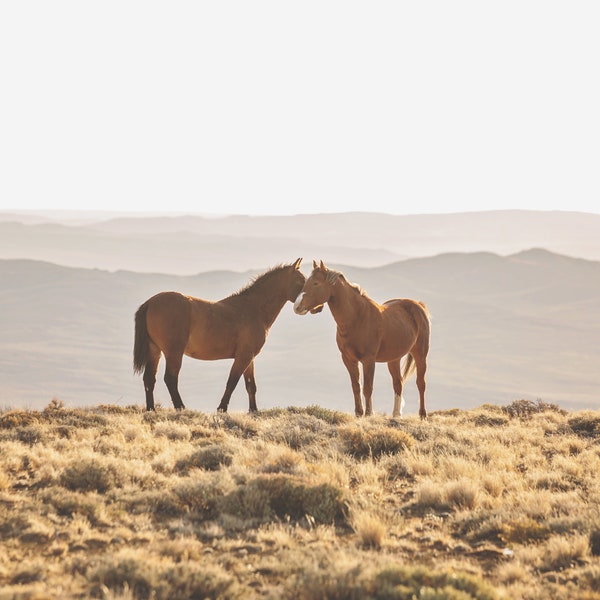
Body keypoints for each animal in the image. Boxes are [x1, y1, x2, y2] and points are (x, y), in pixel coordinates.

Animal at [135, 258, 304, 412]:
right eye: (301, 281)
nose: (304, 306)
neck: (254, 309)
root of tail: (150, 302)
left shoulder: (249, 357)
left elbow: (250, 385)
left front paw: (253, 411)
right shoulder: (243, 357)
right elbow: (232, 382)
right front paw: (222, 408)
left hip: (155, 350)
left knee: (149, 379)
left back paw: (151, 409)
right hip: (173, 352)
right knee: (170, 378)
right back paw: (181, 408)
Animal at [292, 260, 428, 420]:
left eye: (316, 283)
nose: (297, 307)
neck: (357, 318)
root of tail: (418, 305)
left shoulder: (368, 360)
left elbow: (367, 388)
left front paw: (368, 414)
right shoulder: (348, 359)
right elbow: (356, 386)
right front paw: (358, 413)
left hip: (420, 354)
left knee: (421, 383)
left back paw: (422, 415)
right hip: (394, 359)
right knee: (398, 383)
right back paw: (396, 415)